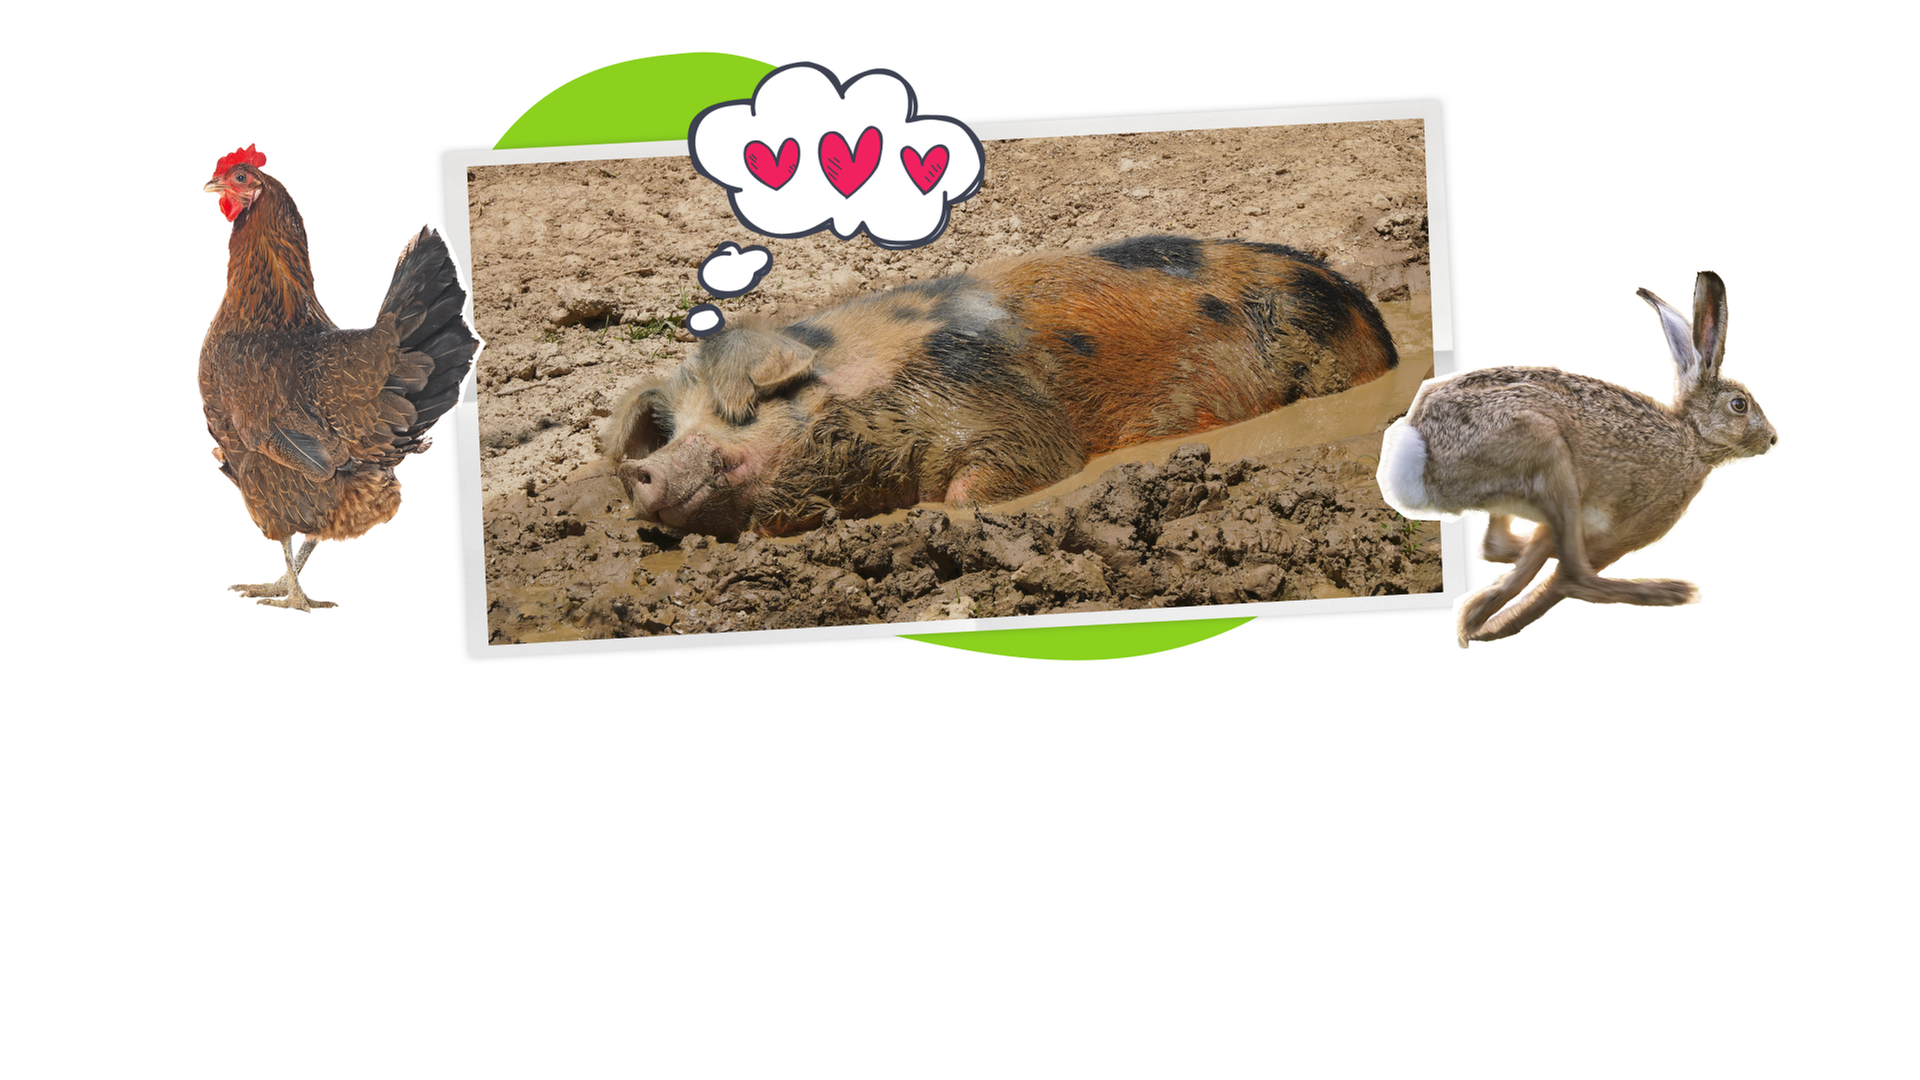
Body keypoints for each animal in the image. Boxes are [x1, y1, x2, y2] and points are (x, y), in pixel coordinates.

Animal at [603, 235, 1399, 537]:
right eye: (676, 429)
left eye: (744, 413)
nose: (642, 468)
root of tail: (1365, 305)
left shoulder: (1011, 414)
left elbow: (1002, 475)